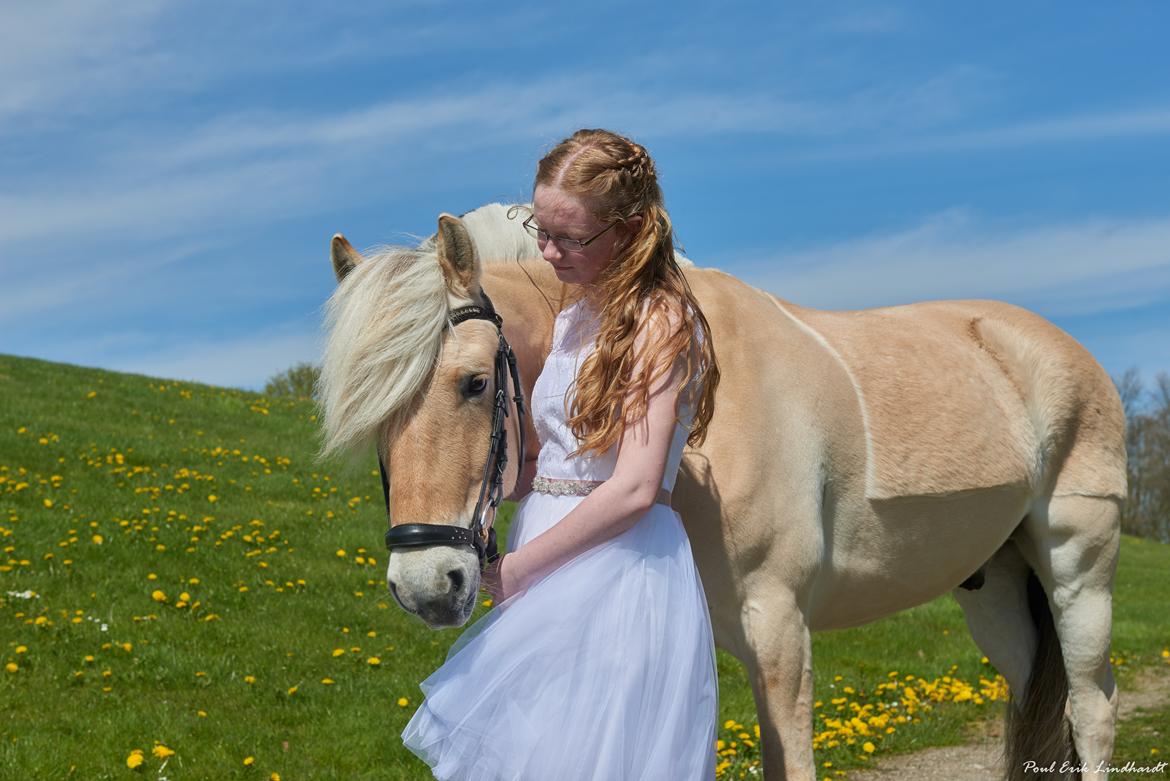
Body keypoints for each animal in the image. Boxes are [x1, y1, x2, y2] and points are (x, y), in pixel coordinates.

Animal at [318, 203, 1123, 781]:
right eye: (373, 417)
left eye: (474, 382)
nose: (426, 583)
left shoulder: (780, 628)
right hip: (996, 592)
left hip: (1078, 573)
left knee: (1093, 710)